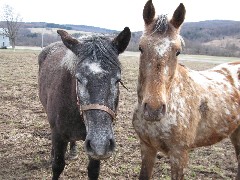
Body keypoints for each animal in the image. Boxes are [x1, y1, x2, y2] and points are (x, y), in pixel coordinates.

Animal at [38, 27, 130, 179]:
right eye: (78, 79)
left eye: (117, 80)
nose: (100, 145)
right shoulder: (58, 135)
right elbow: (57, 166)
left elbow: (93, 170)